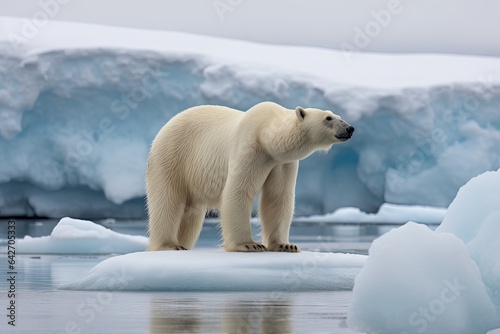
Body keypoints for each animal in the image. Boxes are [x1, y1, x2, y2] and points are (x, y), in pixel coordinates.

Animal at [146, 100, 354, 252]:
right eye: (328, 118)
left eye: (339, 116)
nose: (350, 128)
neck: (266, 136)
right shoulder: (249, 148)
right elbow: (238, 191)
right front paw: (249, 244)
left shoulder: (281, 163)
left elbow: (278, 197)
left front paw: (286, 245)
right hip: (172, 156)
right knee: (167, 201)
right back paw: (169, 245)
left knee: (191, 213)